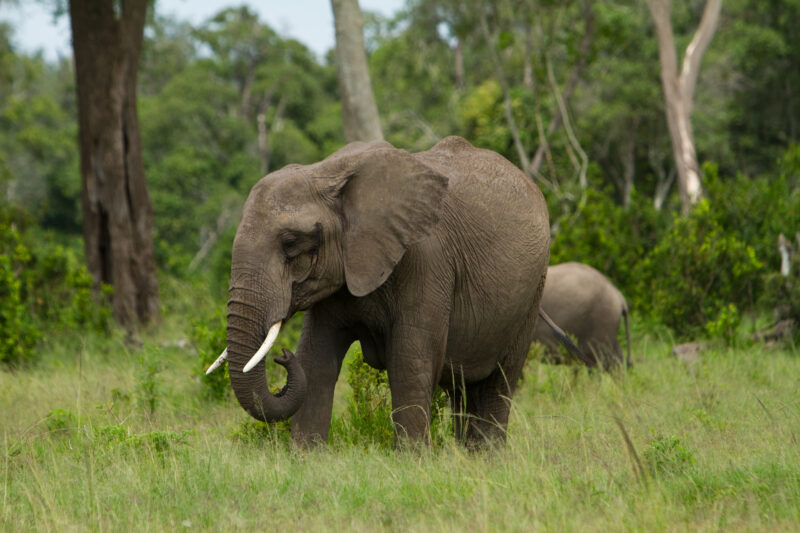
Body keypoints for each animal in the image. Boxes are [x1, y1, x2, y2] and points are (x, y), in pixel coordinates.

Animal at [211, 136, 556, 448]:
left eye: (291, 243)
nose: (282, 355)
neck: (326, 172)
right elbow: (315, 361)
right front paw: (305, 457)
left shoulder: (427, 261)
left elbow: (408, 363)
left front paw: (412, 461)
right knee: (461, 387)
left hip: (532, 292)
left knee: (499, 382)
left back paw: (485, 457)